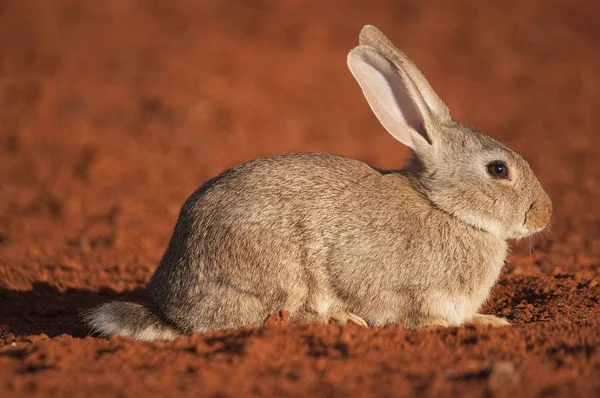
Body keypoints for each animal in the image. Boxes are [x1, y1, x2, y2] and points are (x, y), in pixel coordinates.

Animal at [84, 25, 552, 342]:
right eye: (498, 170)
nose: (545, 214)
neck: (445, 207)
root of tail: (172, 312)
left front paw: (489, 320)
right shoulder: (403, 288)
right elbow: (414, 315)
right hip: (278, 275)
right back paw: (339, 319)